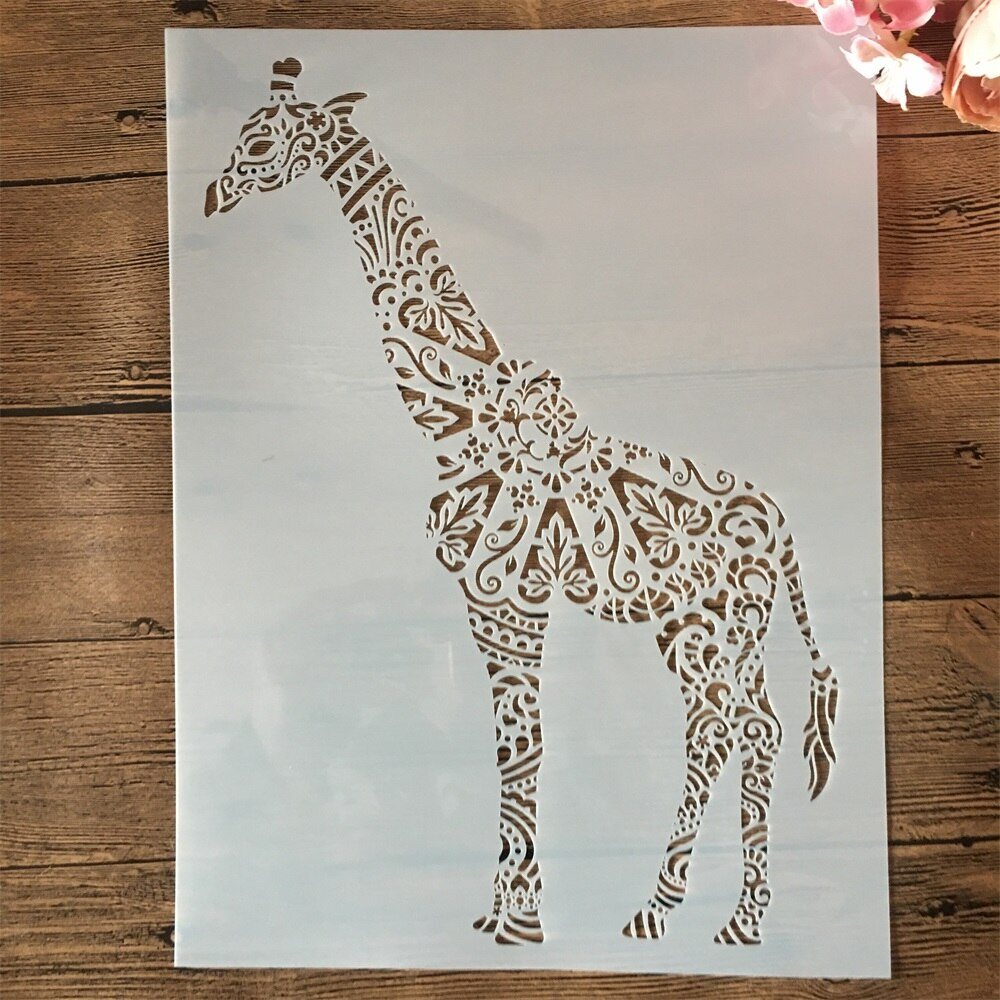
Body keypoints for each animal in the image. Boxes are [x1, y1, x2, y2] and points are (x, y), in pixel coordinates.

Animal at [204, 58, 839, 947]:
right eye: (241, 132)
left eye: (261, 143)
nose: (211, 196)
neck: (457, 412)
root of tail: (782, 528)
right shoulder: (495, 602)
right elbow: (515, 747)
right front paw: (503, 910)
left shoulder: (506, 597)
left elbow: (521, 746)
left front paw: (521, 923)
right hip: (691, 624)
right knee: (720, 726)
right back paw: (665, 912)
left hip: (734, 620)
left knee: (753, 727)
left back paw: (739, 924)